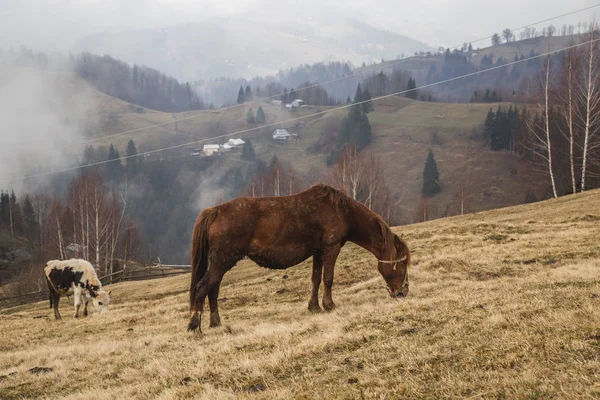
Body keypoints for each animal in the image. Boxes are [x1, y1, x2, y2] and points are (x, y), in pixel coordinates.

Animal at [189, 184, 412, 332]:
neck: (342, 211)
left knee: (213, 289)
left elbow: (316, 279)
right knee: (203, 287)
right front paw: (330, 305)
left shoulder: (318, 251)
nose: (403, 292)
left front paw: (314, 307)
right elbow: (328, 278)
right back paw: (194, 325)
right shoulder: (331, 248)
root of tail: (216, 211)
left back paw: (215, 323)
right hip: (223, 261)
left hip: (220, 262)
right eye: (403, 264)